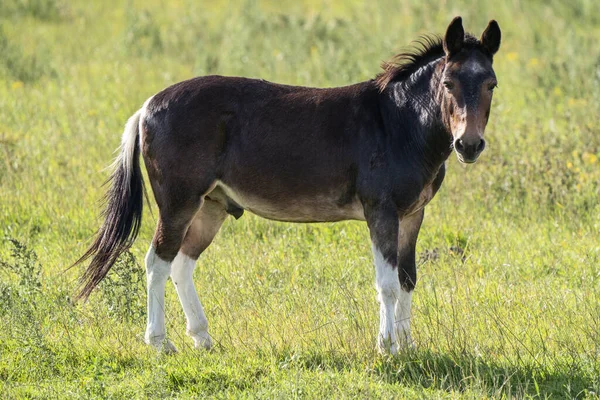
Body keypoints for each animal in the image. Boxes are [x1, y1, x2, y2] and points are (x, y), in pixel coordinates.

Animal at [74, 16, 502, 354]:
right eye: (447, 82)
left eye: (491, 84)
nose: (468, 145)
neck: (398, 122)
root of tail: (146, 107)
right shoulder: (381, 211)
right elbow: (387, 283)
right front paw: (387, 348)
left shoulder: (413, 214)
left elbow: (408, 278)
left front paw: (408, 344)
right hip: (179, 202)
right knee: (157, 261)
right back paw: (161, 343)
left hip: (212, 205)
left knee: (181, 262)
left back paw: (203, 338)